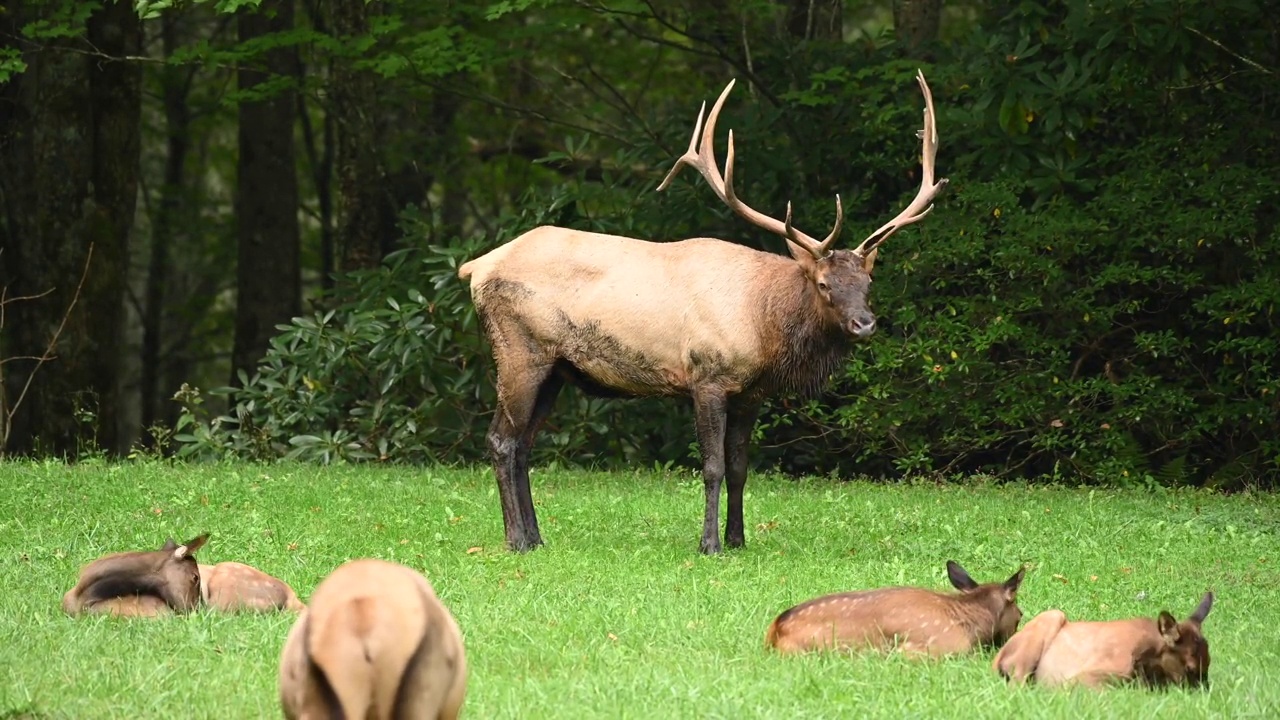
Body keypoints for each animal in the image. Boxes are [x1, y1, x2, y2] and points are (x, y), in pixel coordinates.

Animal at [460, 70, 952, 550]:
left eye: (868, 281)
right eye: (824, 283)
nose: (864, 323)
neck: (764, 324)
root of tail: (476, 267)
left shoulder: (752, 392)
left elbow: (740, 468)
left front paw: (738, 539)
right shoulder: (707, 376)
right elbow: (712, 466)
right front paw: (709, 544)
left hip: (558, 369)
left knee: (524, 444)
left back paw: (537, 538)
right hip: (520, 351)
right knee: (502, 440)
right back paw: (516, 540)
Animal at [993, 589, 1213, 691]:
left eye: (1209, 663)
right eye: (1190, 668)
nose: (1204, 693)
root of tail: (995, 659)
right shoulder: (1086, 676)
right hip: (1051, 618)